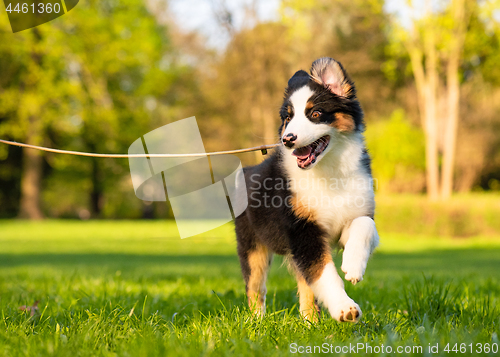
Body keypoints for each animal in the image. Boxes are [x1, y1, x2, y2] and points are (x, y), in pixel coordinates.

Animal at [234, 57, 378, 322]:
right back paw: (257, 322)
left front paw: (353, 265)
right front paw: (345, 308)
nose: (287, 139)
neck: (329, 171)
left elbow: (365, 224)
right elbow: (324, 273)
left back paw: (310, 320)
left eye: (315, 113)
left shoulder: (353, 214)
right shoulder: (301, 230)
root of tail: (248, 170)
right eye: (288, 118)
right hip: (252, 246)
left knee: (304, 286)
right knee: (255, 288)